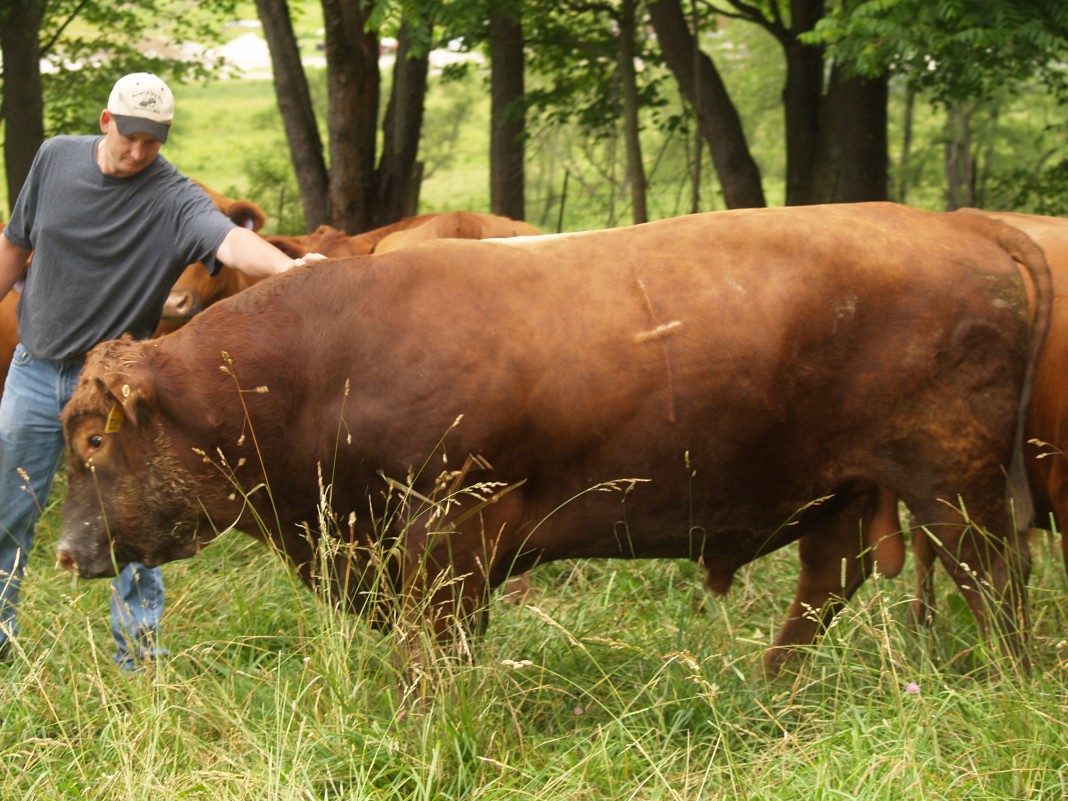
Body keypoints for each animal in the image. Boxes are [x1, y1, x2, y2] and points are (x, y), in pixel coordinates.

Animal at [54, 202, 1050, 675]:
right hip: (840, 490)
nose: (65, 551)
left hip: (954, 486)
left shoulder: (448, 534)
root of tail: (962, 224)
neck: (326, 356)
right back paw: (771, 690)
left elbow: (435, 652)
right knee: (826, 586)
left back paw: (1006, 682)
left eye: (95, 443)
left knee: (996, 585)